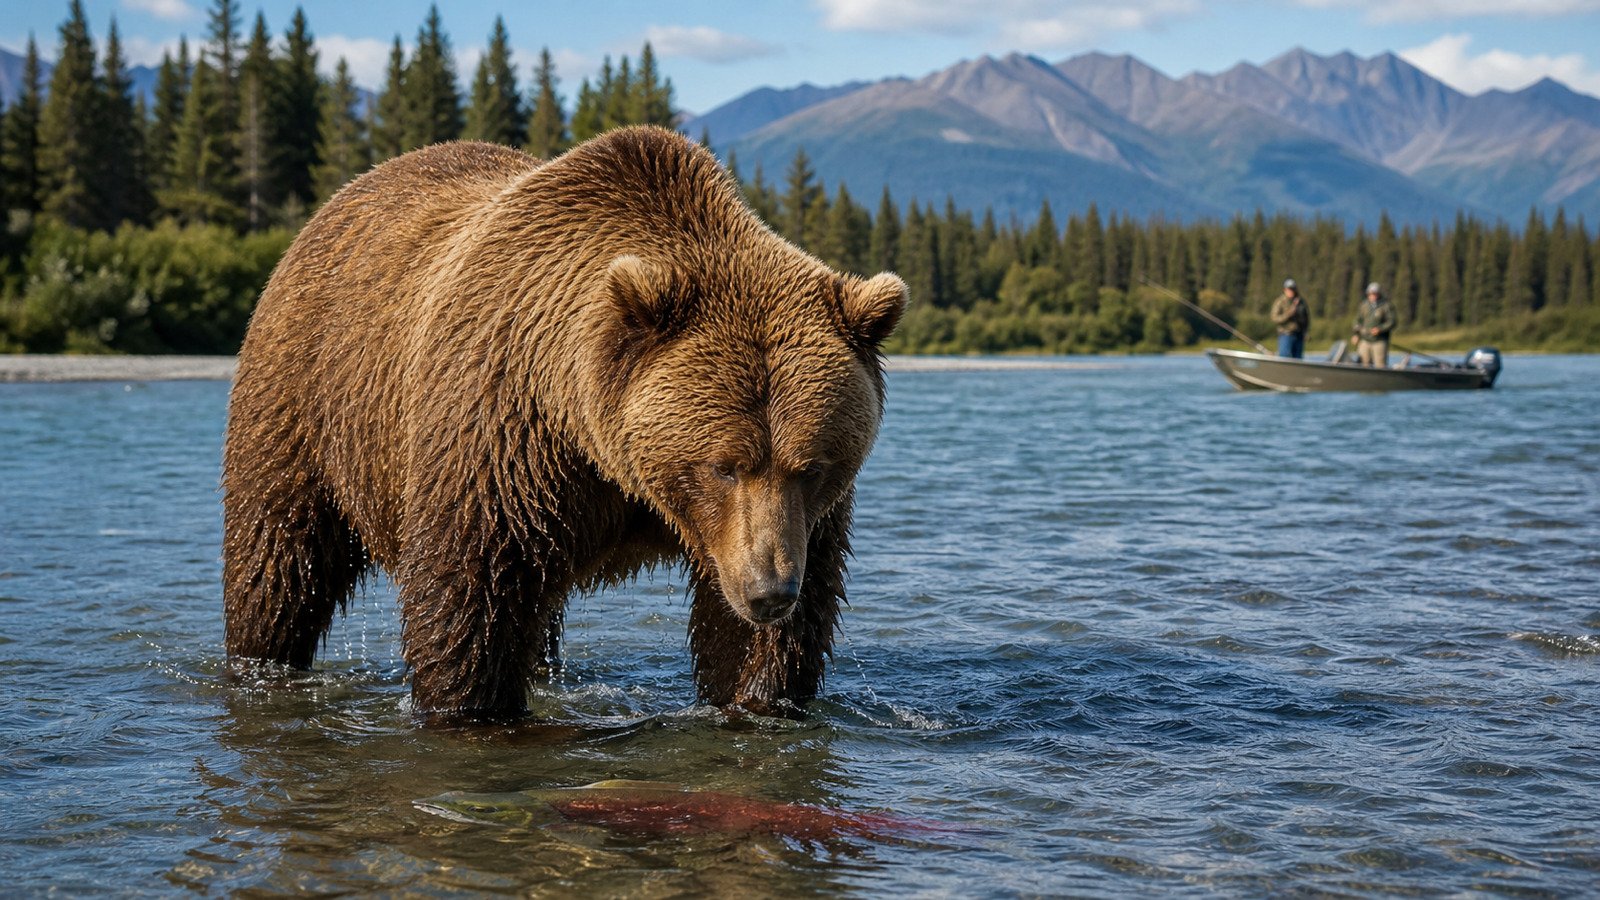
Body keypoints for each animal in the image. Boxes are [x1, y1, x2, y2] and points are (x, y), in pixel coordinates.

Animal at [221, 126, 907, 719]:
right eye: (724, 466)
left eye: (811, 467)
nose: (769, 591)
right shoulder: (504, 440)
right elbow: (472, 597)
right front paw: (471, 707)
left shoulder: (789, 524)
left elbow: (763, 640)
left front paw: (757, 695)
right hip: (302, 397)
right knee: (279, 557)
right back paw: (261, 660)